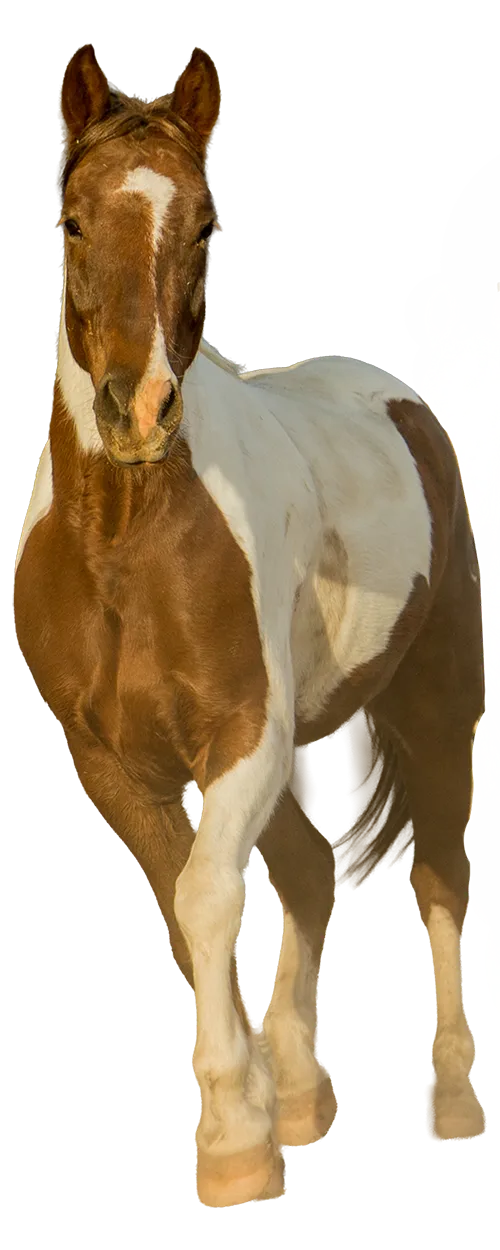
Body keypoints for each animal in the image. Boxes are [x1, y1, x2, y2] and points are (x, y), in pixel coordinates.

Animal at [13, 43, 487, 1207]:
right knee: (312, 875)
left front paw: (233, 1150)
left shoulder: (242, 737)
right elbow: (185, 910)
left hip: (431, 706)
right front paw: (257, 1124)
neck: (126, 538)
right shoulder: (108, 762)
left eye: (208, 226)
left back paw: (452, 1105)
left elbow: (211, 898)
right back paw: (310, 1095)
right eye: (72, 222)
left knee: (439, 884)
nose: (138, 410)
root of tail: (392, 398)